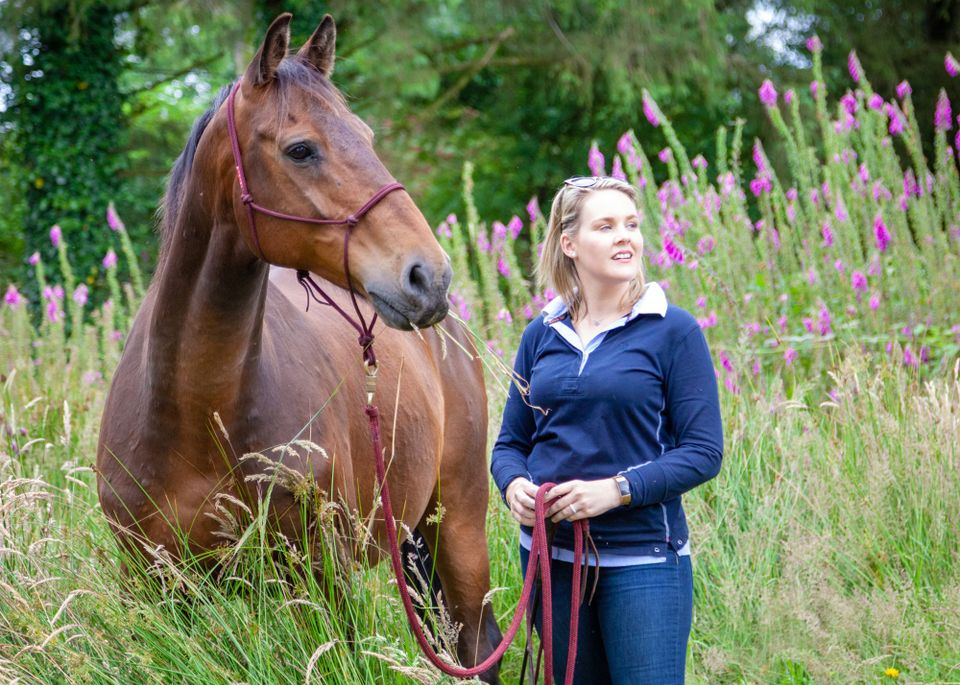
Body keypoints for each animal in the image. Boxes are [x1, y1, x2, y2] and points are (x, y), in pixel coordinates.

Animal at [96, 14, 501, 683]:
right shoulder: (151, 589)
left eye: (365, 135)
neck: (195, 410)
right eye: (301, 149)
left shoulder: (321, 581)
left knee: (475, 643)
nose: (429, 277)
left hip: (459, 526)